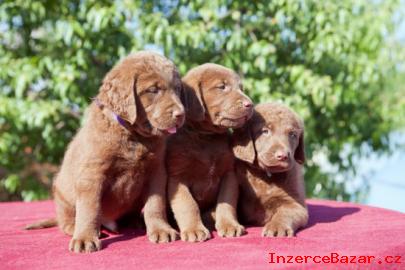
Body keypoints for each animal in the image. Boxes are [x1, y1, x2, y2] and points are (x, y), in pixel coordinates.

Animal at [28, 51, 185, 253]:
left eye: (177, 89)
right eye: (153, 90)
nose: (181, 114)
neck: (132, 136)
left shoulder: (156, 171)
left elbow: (155, 204)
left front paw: (160, 230)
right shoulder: (92, 174)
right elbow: (90, 209)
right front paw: (85, 238)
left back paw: (135, 221)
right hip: (62, 193)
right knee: (66, 218)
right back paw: (74, 228)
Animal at [166, 63, 252, 243]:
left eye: (241, 88)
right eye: (222, 87)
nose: (250, 104)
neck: (206, 138)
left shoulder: (229, 174)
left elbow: (226, 202)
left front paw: (229, 225)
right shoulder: (177, 178)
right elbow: (188, 205)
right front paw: (194, 229)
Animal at [232, 102, 308, 237]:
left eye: (292, 135)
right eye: (265, 131)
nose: (282, 156)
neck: (266, 175)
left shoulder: (297, 204)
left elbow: (285, 213)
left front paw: (277, 227)